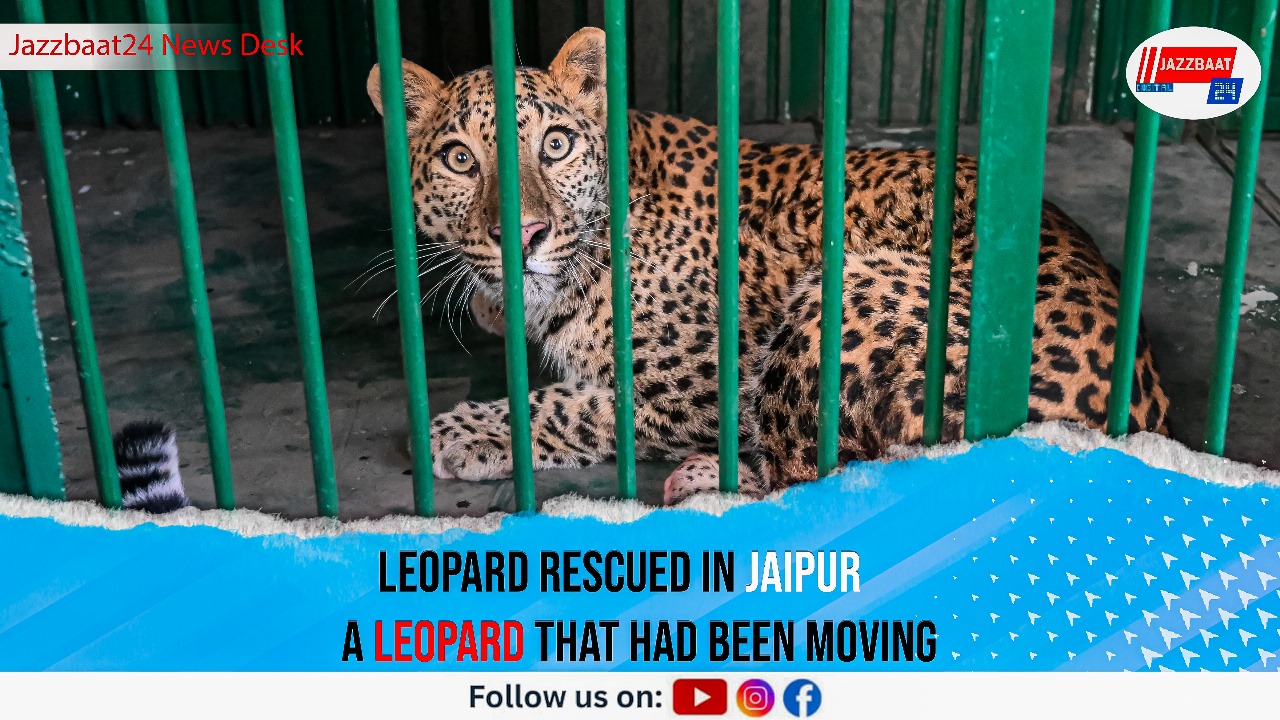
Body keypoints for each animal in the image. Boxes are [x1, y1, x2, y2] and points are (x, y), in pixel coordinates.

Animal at [365, 27, 1170, 506]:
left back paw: (700, 482)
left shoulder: (701, 384)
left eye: (554, 146)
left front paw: (457, 433)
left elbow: (574, 406)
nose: (523, 236)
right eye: (459, 159)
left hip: (840, 301)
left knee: (807, 471)